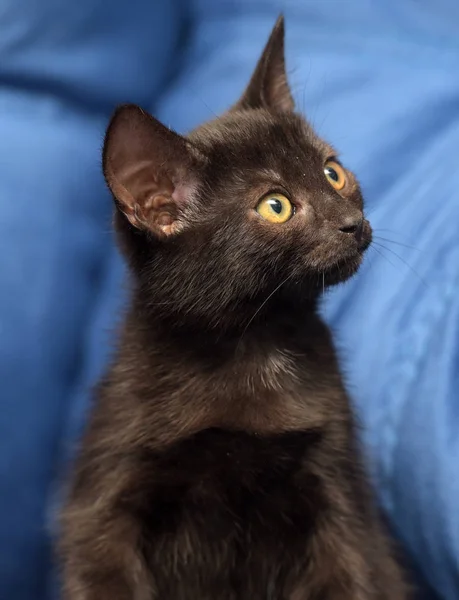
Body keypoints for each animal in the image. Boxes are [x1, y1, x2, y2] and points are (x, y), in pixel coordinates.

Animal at [59, 14, 408, 600]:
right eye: (276, 206)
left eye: (333, 172)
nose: (352, 223)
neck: (251, 346)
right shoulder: (103, 503)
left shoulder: (339, 497)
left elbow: (349, 571)